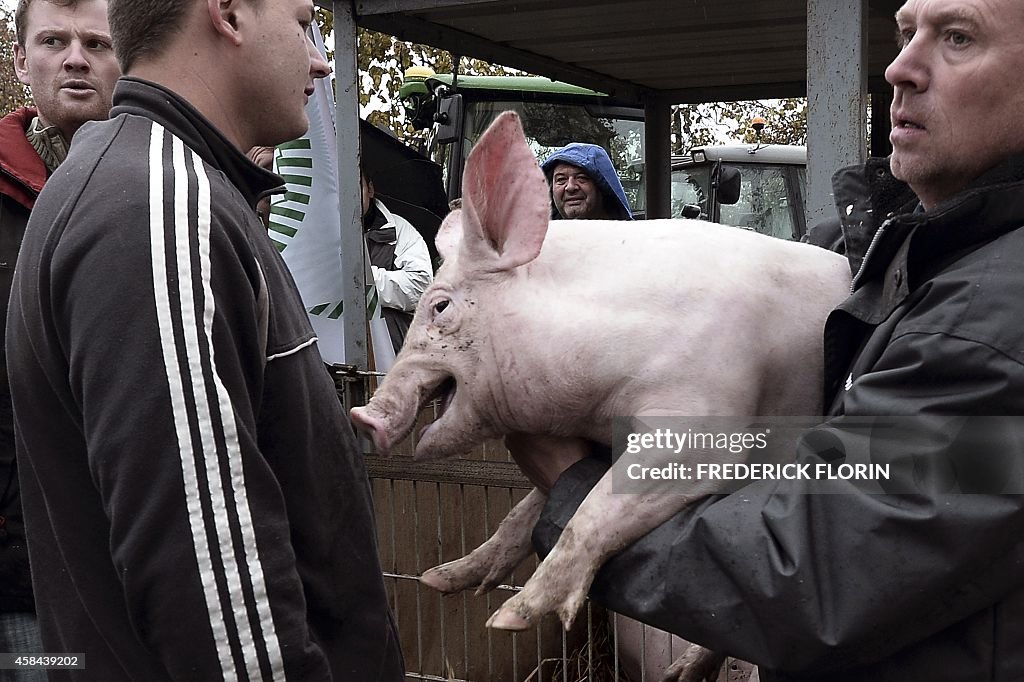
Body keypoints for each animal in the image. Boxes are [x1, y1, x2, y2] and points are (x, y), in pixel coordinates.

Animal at [350, 112, 847, 667]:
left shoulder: (704, 424)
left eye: (439, 306)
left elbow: (592, 509)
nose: (361, 416)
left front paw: (506, 619)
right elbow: (529, 511)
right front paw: (441, 580)